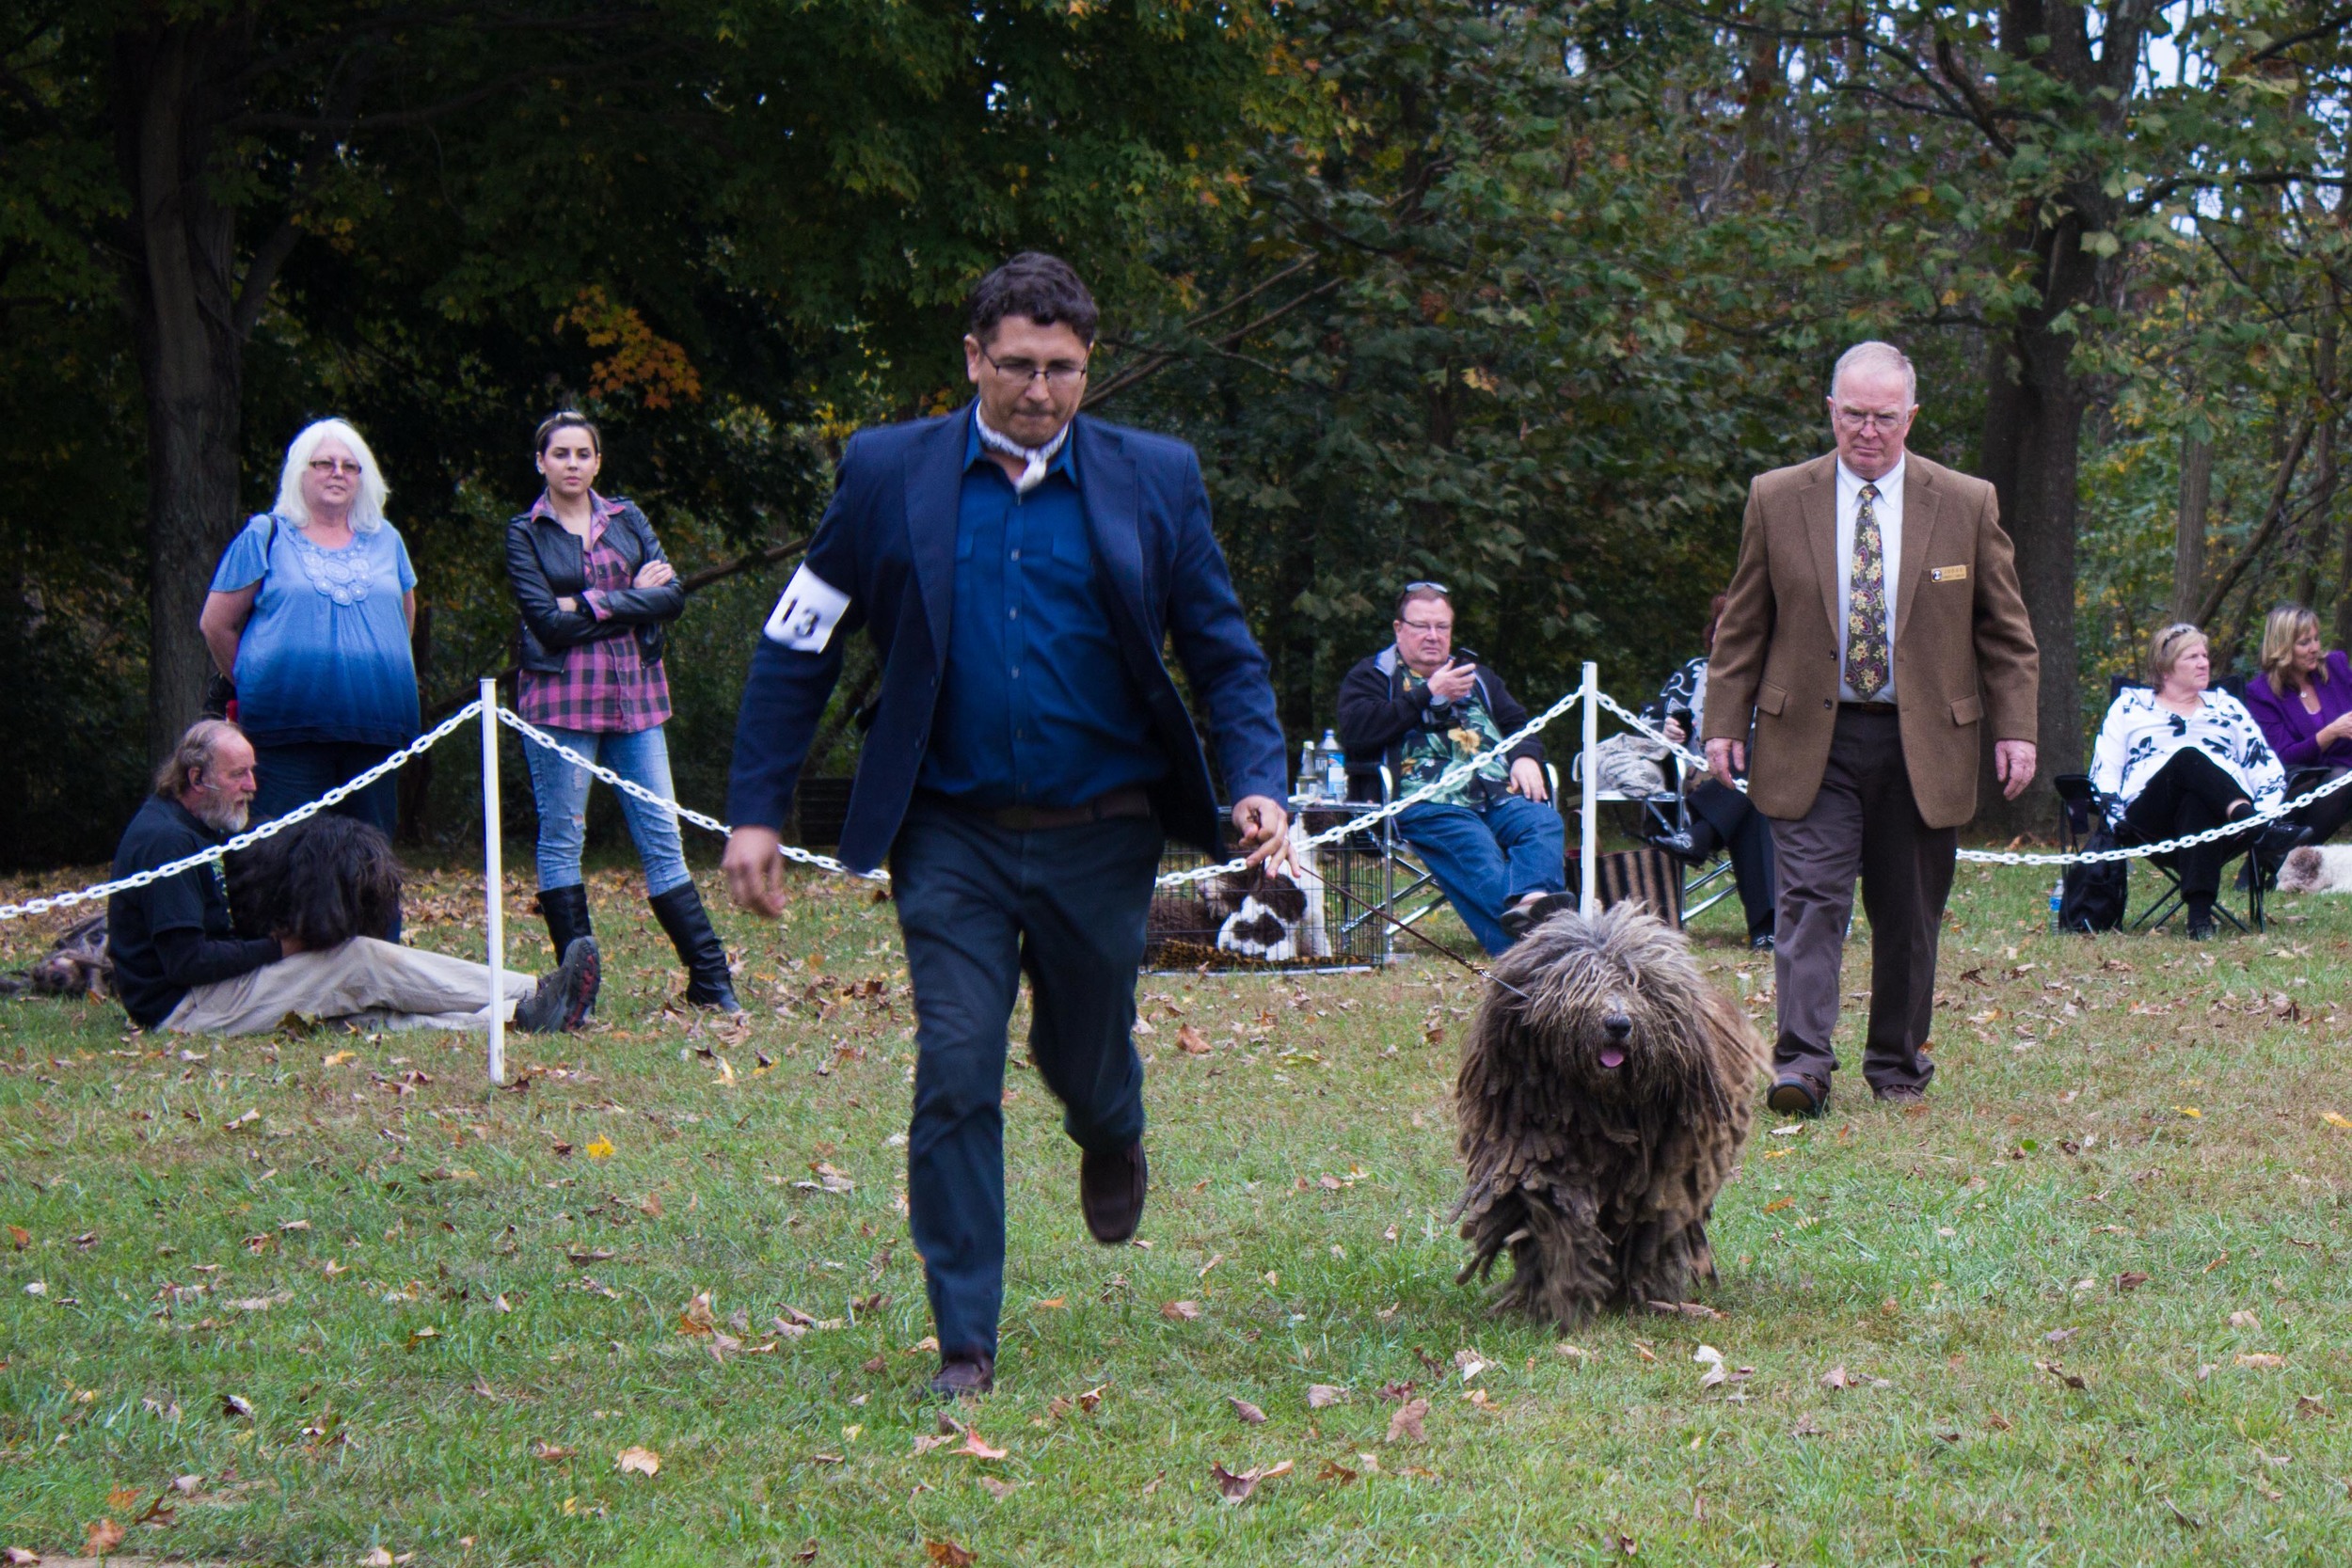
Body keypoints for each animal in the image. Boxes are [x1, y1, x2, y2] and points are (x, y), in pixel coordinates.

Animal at [1449, 902, 1769, 1335]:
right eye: (1580, 982)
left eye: (1638, 984)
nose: (1618, 1024)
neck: (1603, 1106)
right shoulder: (1537, 1154)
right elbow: (1557, 1217)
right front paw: (1563, 1295)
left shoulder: (1661, 1177)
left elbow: (1651, 1229)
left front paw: (1641, 1292)